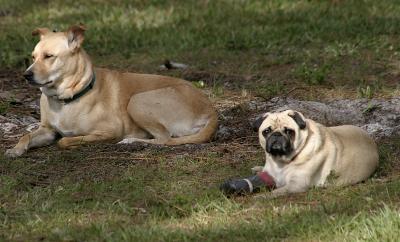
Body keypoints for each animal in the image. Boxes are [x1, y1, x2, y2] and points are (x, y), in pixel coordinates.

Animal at [4, 24, 217, 157]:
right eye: (33, 57)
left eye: (49, 56)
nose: (26, 75)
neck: (65, 99)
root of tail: (211, 108)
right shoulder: (47, 130)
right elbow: (26, 135)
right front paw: (16, 149)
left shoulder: (109, 130)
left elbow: (65, 141)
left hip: (137, 101)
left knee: (165, 139)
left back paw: (132, 141)